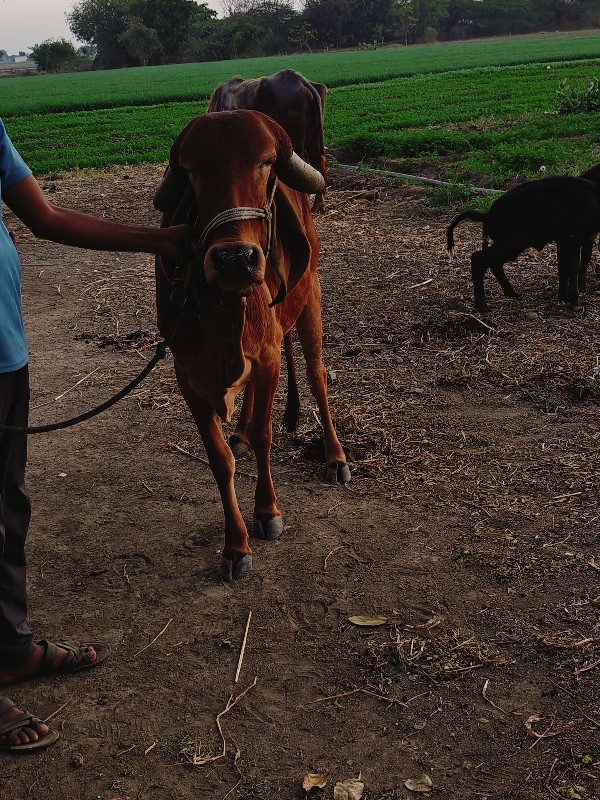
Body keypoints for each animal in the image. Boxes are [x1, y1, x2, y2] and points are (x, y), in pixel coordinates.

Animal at [155, 109, 352, 580]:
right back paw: (240, 432)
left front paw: (266, 512)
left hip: (310, 300)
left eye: (265, 164)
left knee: (316, 376)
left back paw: (334, 456)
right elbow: (218, 458)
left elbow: (266, 434)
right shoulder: (188, 376)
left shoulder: (267, 358)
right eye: (192, 171)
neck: (226, 306)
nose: (234, 261)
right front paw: (235, 546)